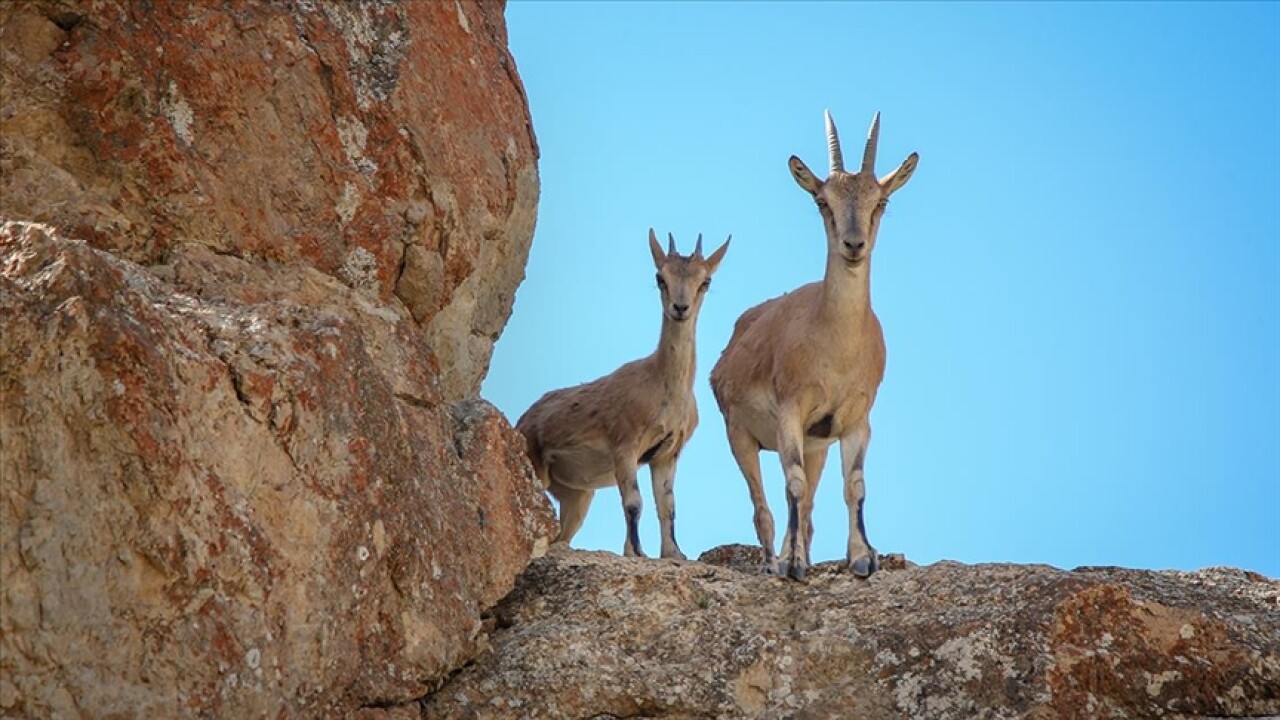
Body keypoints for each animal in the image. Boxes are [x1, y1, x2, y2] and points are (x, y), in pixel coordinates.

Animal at [512, 229, 732, 561]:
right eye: (660, 277)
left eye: (705, 281)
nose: (680, 308)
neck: (665, 387)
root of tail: (522, 422)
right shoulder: (625, 445)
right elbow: (634, 501)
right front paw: (635, 551)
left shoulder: (666, 453)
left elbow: (667, 505)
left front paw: (673, 553)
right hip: (539, 469)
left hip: (579, 494)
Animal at [711, 110, 921, 576]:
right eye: (822, 202)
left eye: (880, 202)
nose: (853, 244)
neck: (836, 348)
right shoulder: (791, 411)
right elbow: (792, 482)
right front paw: (791, 565)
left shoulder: (853, 420)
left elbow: (855, 485)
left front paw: (862, 558)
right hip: (740, 435)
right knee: (764, 507)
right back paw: (774, 560)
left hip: (817, 446)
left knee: (806, 509)